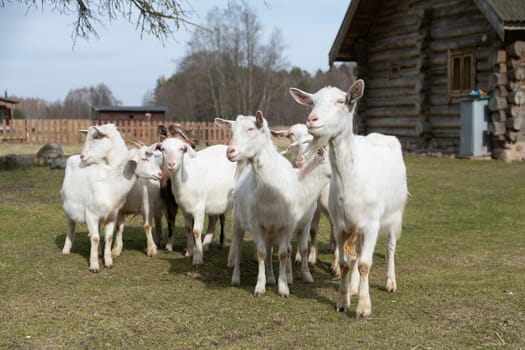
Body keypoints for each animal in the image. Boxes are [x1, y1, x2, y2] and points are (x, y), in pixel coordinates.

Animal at [60, 124, 162, 272]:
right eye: (144, 159)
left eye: (155, 158)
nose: (160, 174)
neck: (110, 183)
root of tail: (73, 157)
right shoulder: (91, 215)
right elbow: (95, 238)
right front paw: (94, 265)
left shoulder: (112, 215)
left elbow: (108, 236)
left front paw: (108, 261)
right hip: (68, 209)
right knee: (70, 227)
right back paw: (66, 250)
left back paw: (98, 252)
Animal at [160, 137, 233, 266]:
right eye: (163, 149)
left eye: (181, 149)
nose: (171, 164)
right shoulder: (184, 208)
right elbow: (188, 228)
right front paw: (189, 252)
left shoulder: (199, 208)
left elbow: (197, 231)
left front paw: (197, 258)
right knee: (214, 220)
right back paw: (205, 245)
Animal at [288, 80, 408, 320]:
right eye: (312, 102)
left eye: (341, 101)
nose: (312, 120)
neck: (352, 181)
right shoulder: (340, 225)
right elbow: (346, 263)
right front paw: (343, 301)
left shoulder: (371, 224)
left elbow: (364, 264)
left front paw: (363, 308)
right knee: (358, 252)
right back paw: (353, 288)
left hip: (394, 213)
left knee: (390, 247)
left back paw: (390, 283)